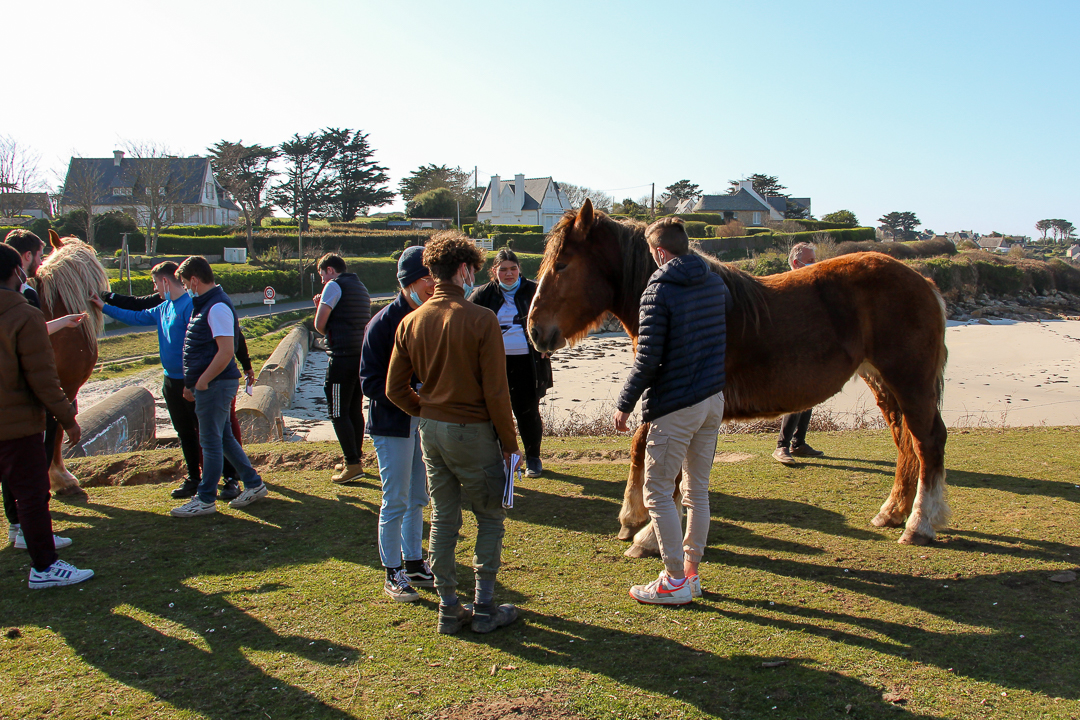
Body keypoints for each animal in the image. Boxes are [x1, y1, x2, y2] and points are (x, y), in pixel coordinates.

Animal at [527, 199, 950, 557]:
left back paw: (918, 524)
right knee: (905, 441)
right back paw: (892, 512)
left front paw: (647, 535)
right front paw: (635, 519)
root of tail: (923, 282)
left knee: (927, 441)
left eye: (562, 264)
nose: (534, 330)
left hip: (910, 382)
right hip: (884, 384)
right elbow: (641, 450)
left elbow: (659, 460)